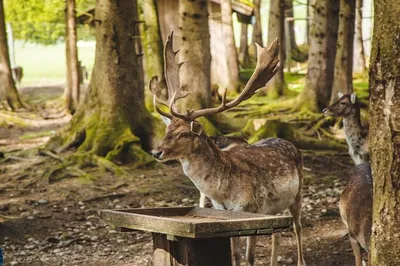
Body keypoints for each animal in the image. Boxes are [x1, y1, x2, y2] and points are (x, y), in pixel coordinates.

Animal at [148, 32, 304, 266]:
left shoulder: (252, 209)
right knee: (278, 234)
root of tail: (290, 143)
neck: (222, 192)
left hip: (299, 192)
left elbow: (249, 257)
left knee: (298, 227)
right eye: (167, 130)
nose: (156, 152)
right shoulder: (224, 213)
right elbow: (236, 254)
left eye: (184, 133)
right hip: (276, 207)